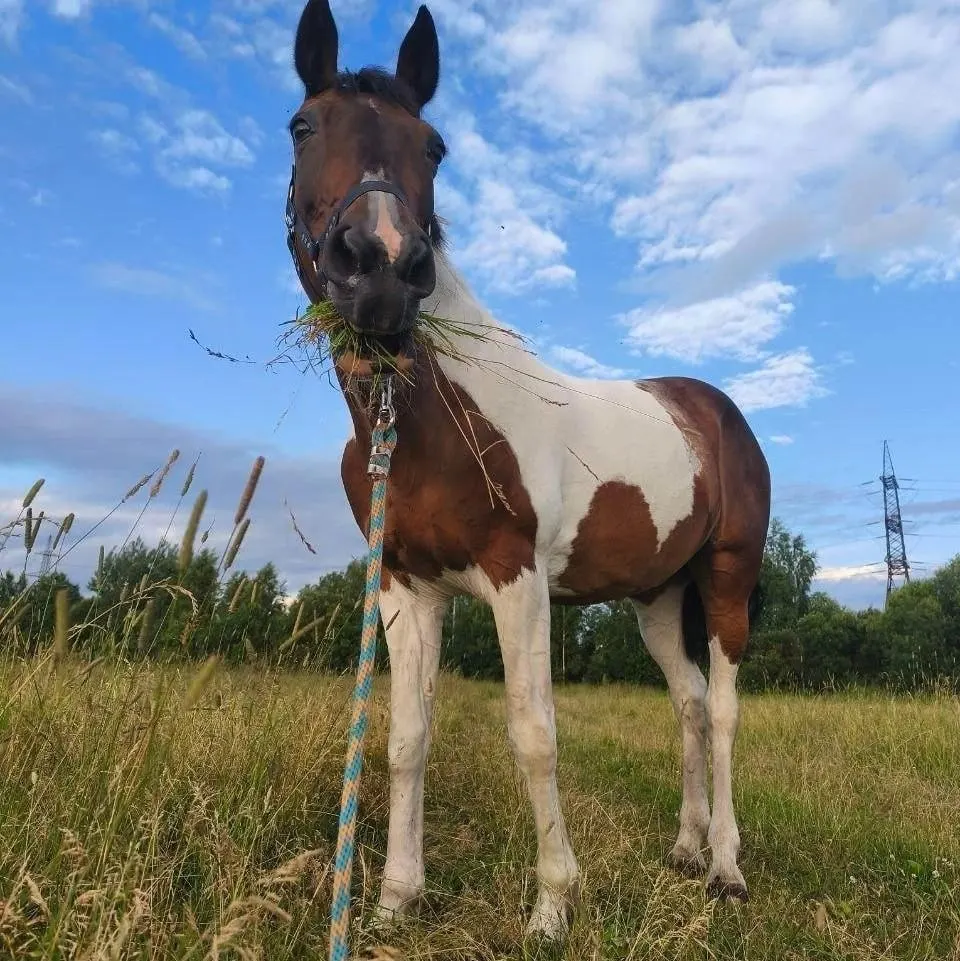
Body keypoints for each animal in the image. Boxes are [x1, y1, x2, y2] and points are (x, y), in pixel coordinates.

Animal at [285, 0, 772, 940]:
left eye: (433, 145)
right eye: (303, 126)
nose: (382, 269)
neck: (428, 416)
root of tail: (715, 411)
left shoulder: (518, 579)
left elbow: (534, 733)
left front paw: (553, 904)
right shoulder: (406, 585)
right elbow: (405, 738)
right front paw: (396, 899)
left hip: (728, 575)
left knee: (726, 707)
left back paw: (727, 866)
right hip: (657, 596)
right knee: (690, 701)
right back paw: (687, 847)